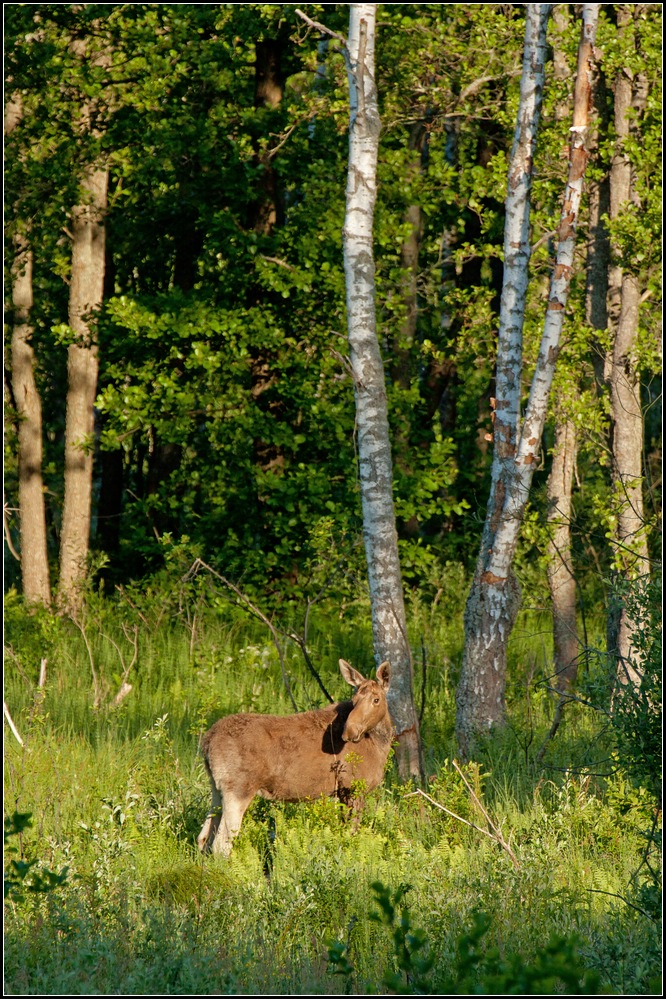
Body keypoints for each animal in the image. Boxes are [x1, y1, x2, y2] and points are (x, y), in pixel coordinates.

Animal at [200, 660, 392, 856]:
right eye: (354, 701)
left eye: (376, 699)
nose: (350, 732)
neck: (380, 744)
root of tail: (207, 743)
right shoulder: (352, 787)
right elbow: (351, 834)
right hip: (239, 788)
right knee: (221, 844)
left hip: (216, 787)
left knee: (204, 837)